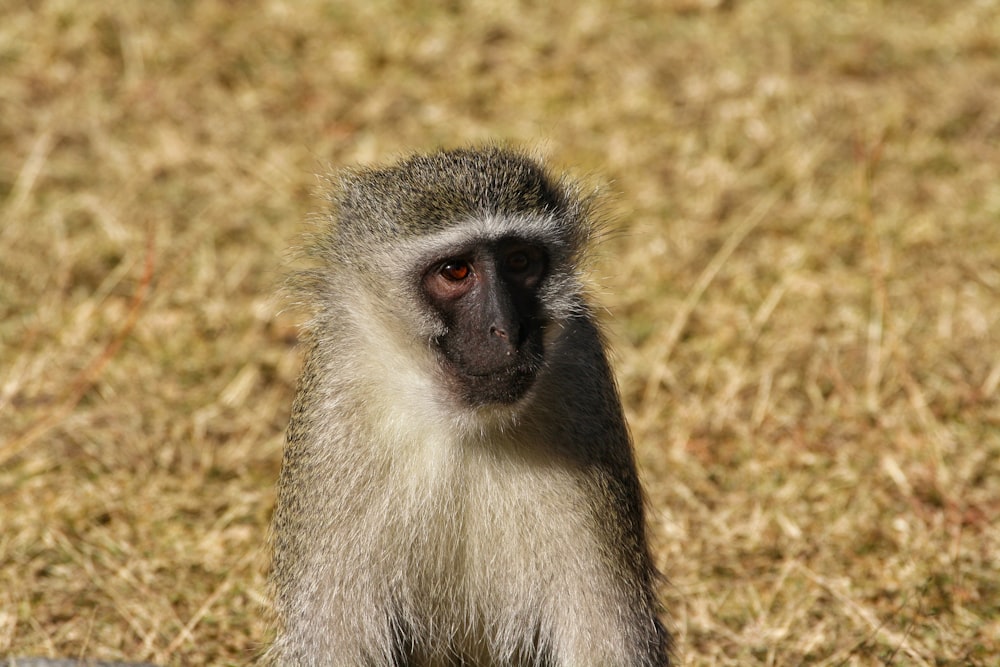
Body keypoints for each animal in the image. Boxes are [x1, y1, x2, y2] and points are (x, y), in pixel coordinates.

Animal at [270, 147, 668, 667]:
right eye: (455, 272)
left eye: (520, 261)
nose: (508, 329)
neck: (462, 424)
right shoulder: (335, 408)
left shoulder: (582, 383)